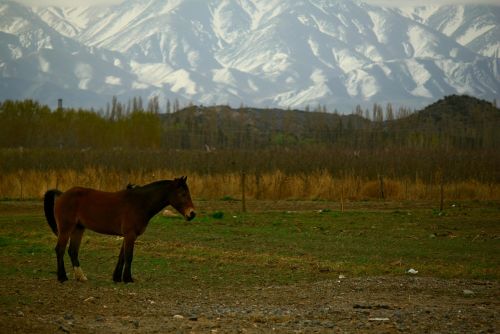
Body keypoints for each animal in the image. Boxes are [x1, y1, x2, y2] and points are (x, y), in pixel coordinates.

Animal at [43, 176, 195, 284]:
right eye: (182, 194)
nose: (192, 214)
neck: (139, 203)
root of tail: (62, 195)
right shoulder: (130, 234)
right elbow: (129, 256)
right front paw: (128, 279)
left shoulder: (128, 235)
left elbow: (122, 256)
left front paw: (117, 278)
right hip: (66, 228)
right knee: (60, 249)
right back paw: (62, 277)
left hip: (78, 229)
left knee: (72, 251)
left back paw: (81, 277)